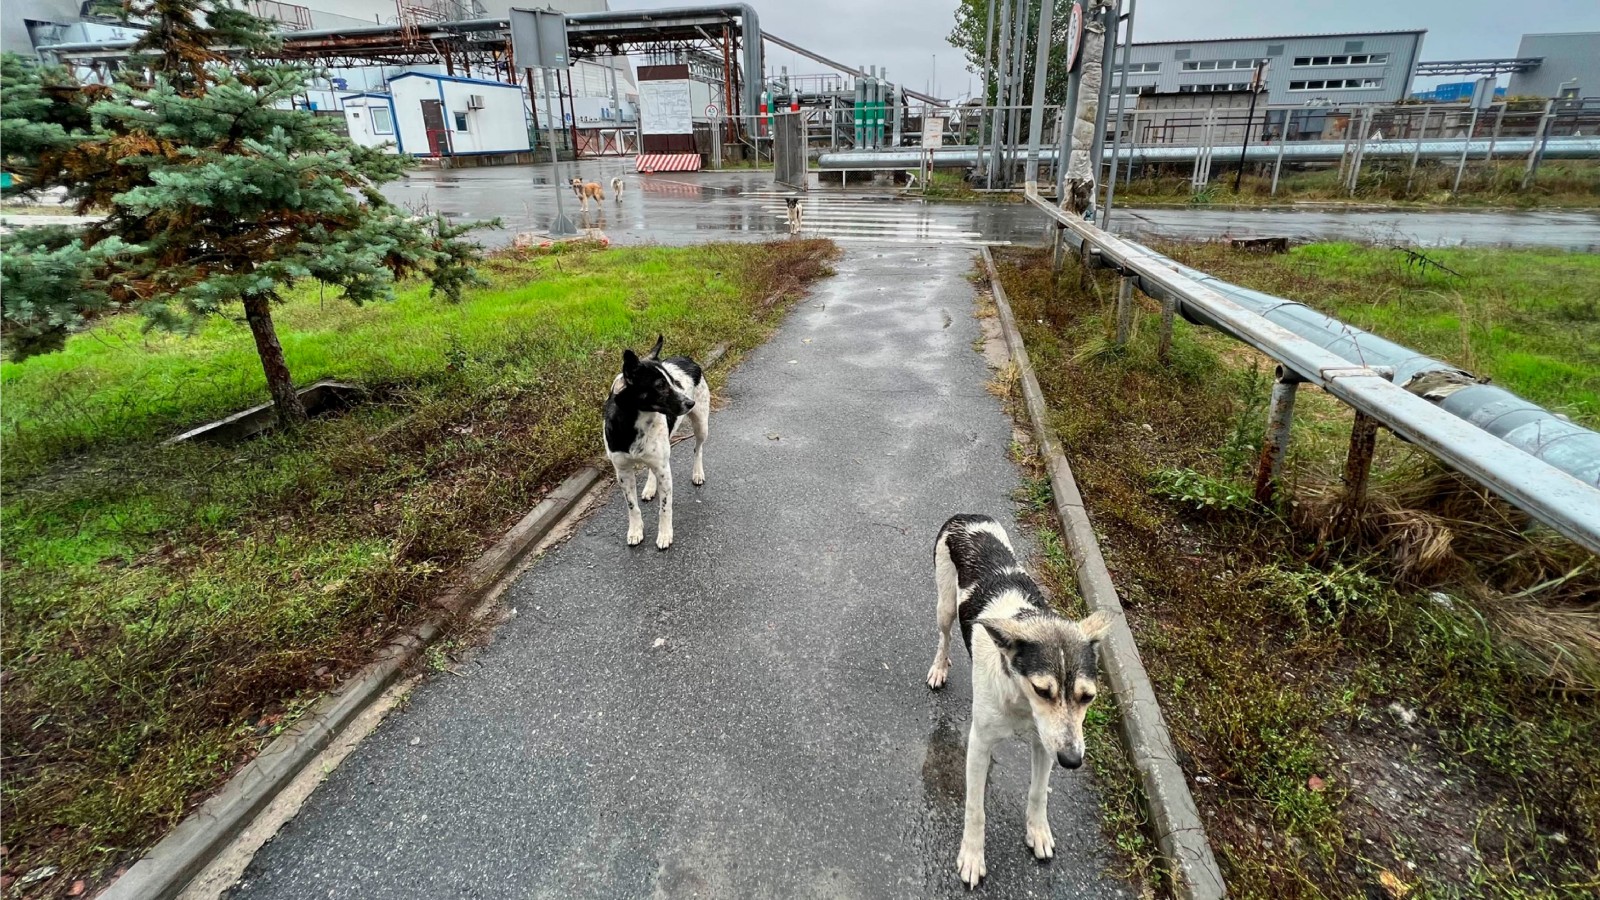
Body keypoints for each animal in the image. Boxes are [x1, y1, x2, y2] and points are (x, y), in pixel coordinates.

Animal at [601, 334, 710, 550]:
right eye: (660, 386)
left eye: (674, 382)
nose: (690, 402)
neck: (634, 421)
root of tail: (687, 358)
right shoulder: (623, 472)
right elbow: (632, 506)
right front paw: (635, 530)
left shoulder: (664, 470)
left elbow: (665, 507)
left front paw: (665, 534)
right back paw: (650, 488)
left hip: (701, 425)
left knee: (698, 448)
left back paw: (697, 473)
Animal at [928, 512, 1113, 883]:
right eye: (1042, 690)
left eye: (1088, 697)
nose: (1073, 761)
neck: (1020, 699)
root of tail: (966, 515)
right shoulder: (979, 742)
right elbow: (975, 809)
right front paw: (972, 855)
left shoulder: (1046, 744)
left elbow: (1038, 792)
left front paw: (1038, 831)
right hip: (945, 605)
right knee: (944, 636)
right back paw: (939, 667)